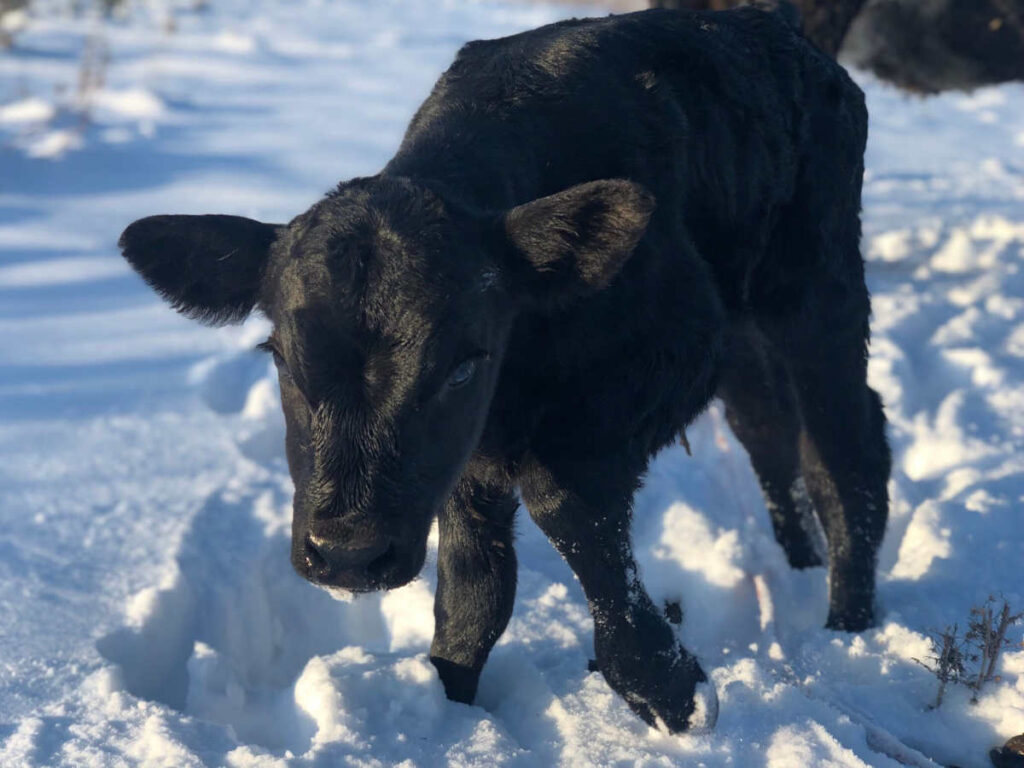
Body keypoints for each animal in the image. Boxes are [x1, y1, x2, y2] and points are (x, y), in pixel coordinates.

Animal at [119, 7, 890, 733]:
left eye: (463, 366)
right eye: (279, 356)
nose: (347, 554)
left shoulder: (675, 351)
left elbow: (563, 502)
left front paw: (669, 688)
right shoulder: (471, 456)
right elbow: (474, 593)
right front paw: (449, 702)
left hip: (818, 289)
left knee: (845, 455)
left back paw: (847, 631)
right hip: (749, 330)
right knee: (768, 431)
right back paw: (798, 567)